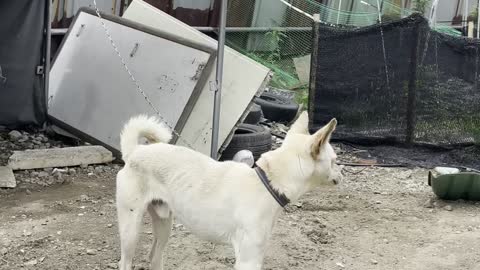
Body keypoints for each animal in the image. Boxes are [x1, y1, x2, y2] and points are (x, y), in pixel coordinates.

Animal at [116, 110, 342, 268]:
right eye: (334, 160)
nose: (341, 174)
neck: (267, 183)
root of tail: (135, 151)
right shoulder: (248, 259)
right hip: (130, 229)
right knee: (125, 262)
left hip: (164, 224)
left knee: (154, 257)